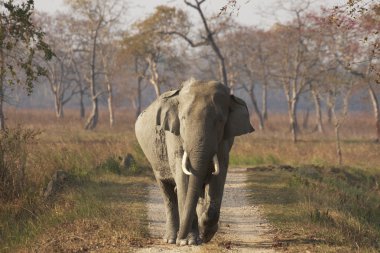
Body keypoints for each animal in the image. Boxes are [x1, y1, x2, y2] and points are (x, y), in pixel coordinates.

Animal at [135, 78, 254, 245]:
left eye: (219, 121)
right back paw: (170, 239)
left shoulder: (225, 141)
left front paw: (205, 234)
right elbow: (183, 177)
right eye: (183, 118)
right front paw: (188, 242)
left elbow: (219, 174)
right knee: (167, 192)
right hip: (154, 161)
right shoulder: (174, 135)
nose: (181, 237)